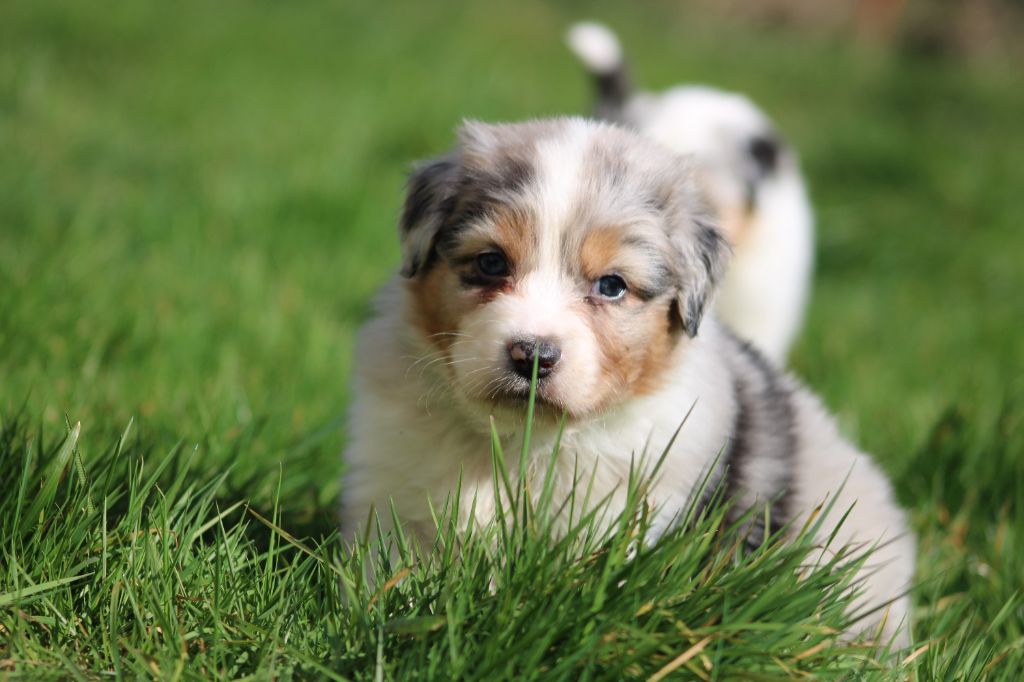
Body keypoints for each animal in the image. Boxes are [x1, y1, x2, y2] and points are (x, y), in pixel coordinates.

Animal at [339, 119, 917, 647]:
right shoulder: (393, 503)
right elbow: (393, 582)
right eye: (490, 262)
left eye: (612, 285)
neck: (522, 442)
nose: (532, 355)